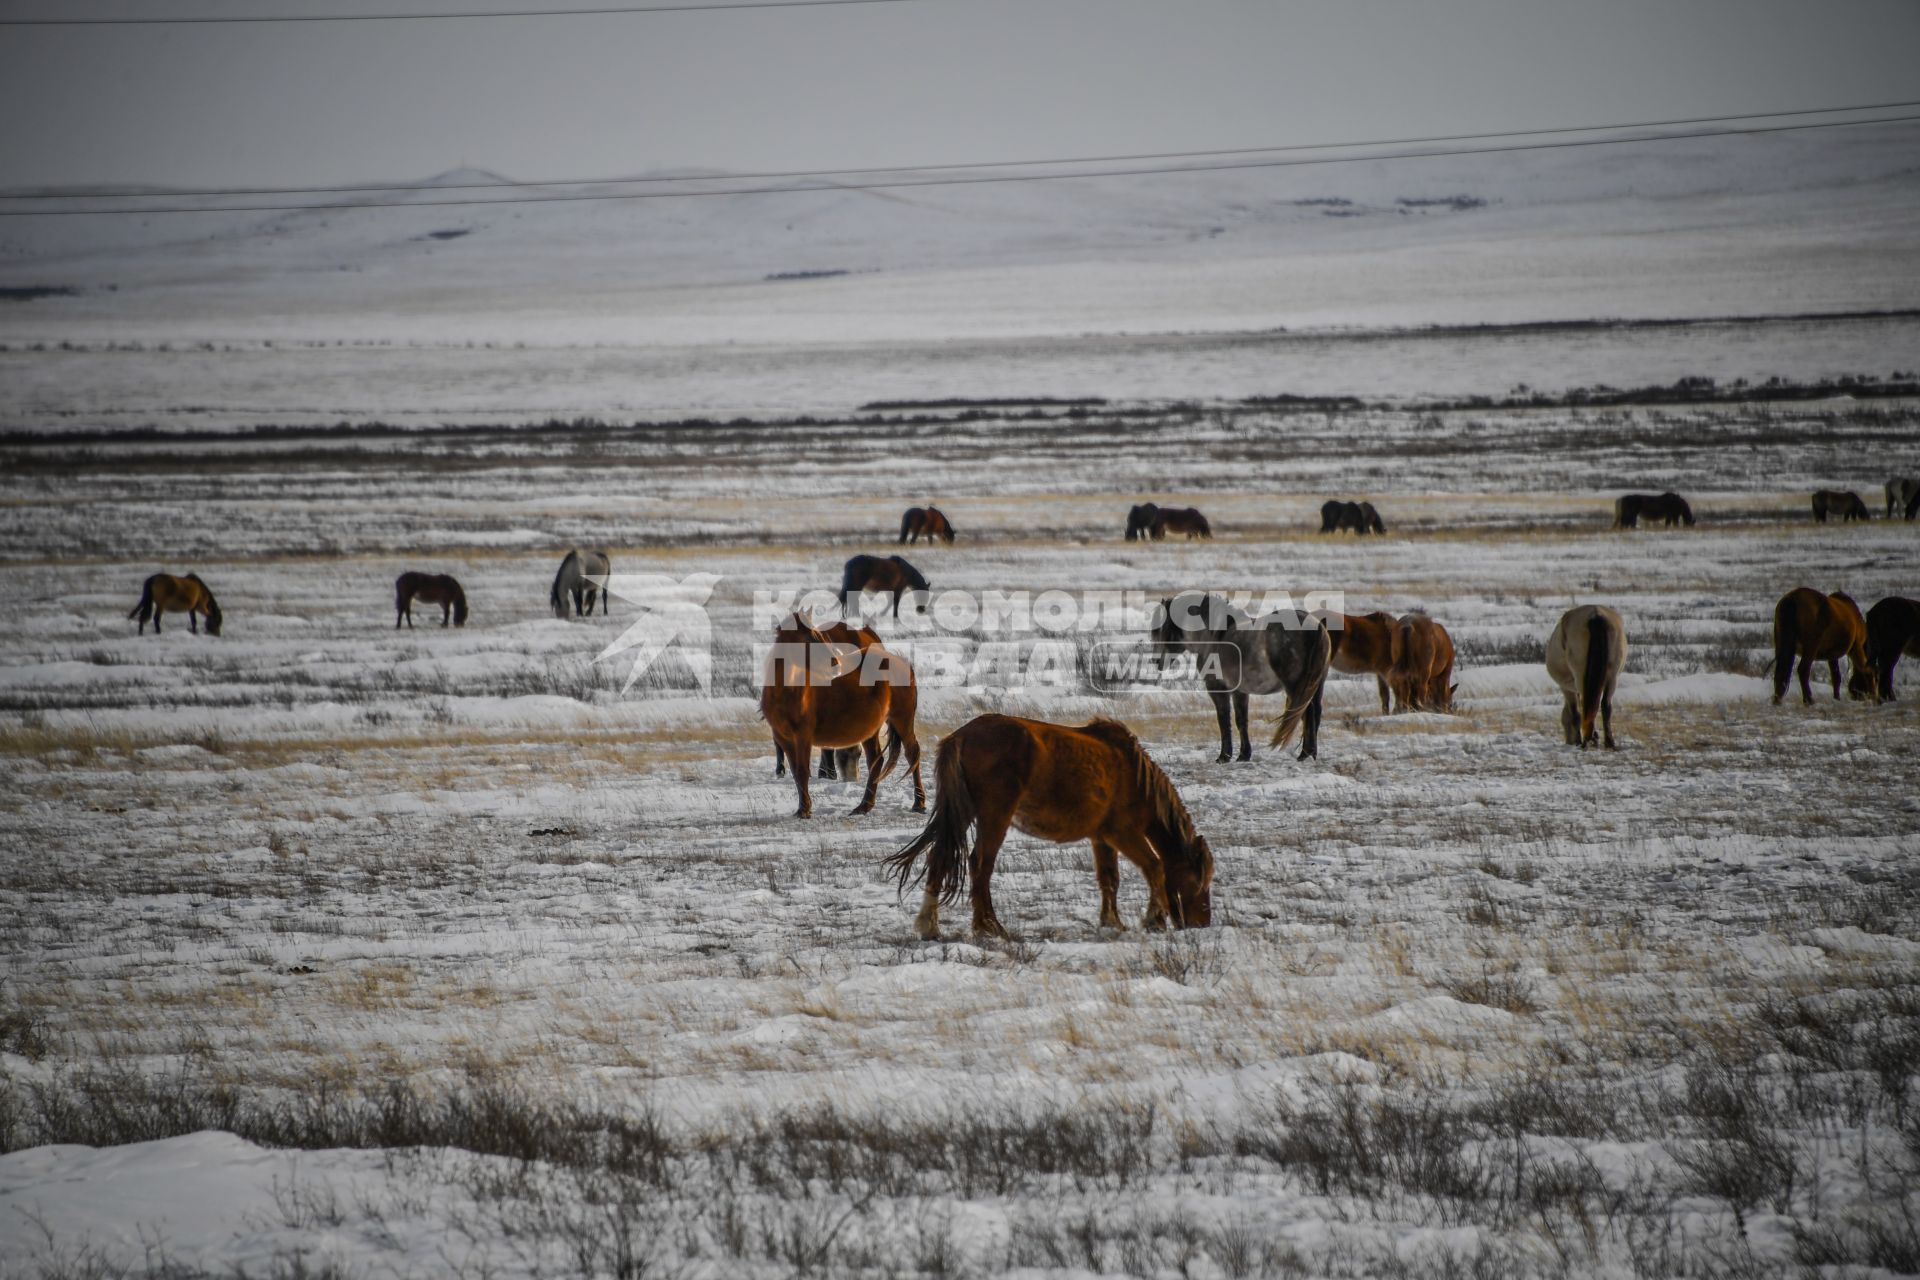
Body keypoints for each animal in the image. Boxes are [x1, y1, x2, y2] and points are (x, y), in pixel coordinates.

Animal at [760, 614, 917, 817]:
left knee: (912, 753)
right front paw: (802, 807)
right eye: (810, 638)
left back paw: (919, 804)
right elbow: (795, 771)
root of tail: (903, 662)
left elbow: (802, 771)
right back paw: (864, 806)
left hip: (902, 719)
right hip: (870, 728)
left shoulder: (803, 735)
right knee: (875, 760)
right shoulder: (783, 737)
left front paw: (804, 810)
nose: (835, 664)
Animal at [887, 710, 1213, 940]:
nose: (1201, 925)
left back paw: (930, 926)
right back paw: (989, 926)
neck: (1134, 775)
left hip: (962, 812)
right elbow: (1154, 868)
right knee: (980, 864)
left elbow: (1109, 879)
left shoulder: (1101, 837)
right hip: (995, 816)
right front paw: (1153, 920)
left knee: (939, 858)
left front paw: (1112, 923)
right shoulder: (1124, 833)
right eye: (1198, 881)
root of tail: (962, 736)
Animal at [1144, 598, 1328, 767]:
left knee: (1305, 713)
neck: (1215, 637)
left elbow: (1224, 720)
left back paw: (1305, 754)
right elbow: (1241, 721)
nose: (1155, 660)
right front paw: (1244, 755)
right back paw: (1310, 754)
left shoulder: (1218, 689)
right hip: (1314, 686)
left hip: (1295, 686)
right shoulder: (1240, 691)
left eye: (1160, 628)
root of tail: (1315, 626)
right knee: (1314, 713)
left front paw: (1224, 756)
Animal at [1536, 602, 1628, 744]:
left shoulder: (1567, 688)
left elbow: (1575, 713)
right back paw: (1609, 742)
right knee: (1605, 706)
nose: (1569, 741)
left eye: (1563, 723)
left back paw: (1585, 741)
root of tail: (1596, 615)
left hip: (1580, 676)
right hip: (1612, 677)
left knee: (1586, 706)